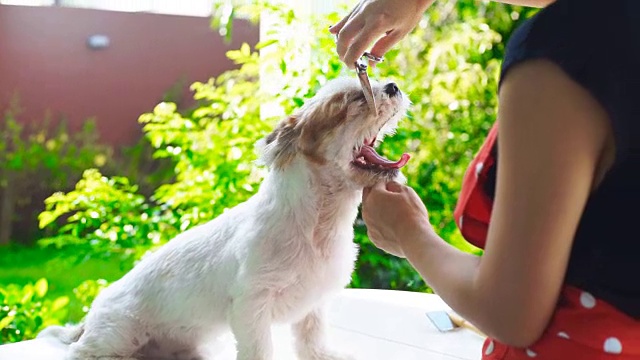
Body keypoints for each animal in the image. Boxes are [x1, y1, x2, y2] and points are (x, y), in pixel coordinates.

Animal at [38, 76, 410, 360]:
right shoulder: (251, 307)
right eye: (356, 99)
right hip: (117, 334)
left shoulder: (312, 306)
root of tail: (88, 319)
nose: (393, 86)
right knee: (84, 353)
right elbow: (259, 351)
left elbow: (312, 340)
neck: (317, 225)